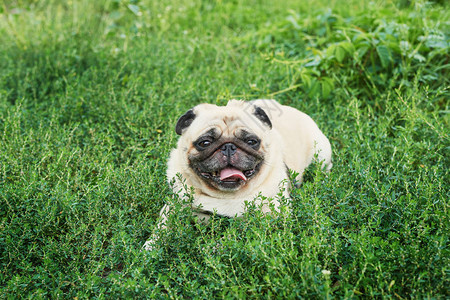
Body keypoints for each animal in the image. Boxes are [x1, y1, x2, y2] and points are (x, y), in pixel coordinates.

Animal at [144, 99, 330, 250]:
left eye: (251, 141)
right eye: (205, 143)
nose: (228, 146)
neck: (225, 196)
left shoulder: (271, 215)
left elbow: (239, 231)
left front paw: (215, 248)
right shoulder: (173, 205)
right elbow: (162, 226)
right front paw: (150, 248)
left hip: (322, 155)